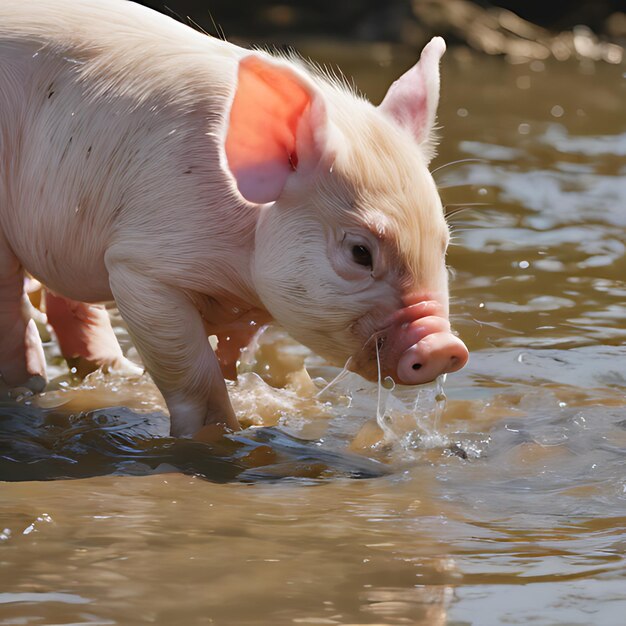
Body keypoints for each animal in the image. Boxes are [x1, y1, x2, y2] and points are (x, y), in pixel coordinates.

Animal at [0, 0, 466, 436]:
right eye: (360, 252)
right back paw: (30, 385)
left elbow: (234, 349)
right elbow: (191, 373)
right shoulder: (141, 267)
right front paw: (221, 434)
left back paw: (112, 372)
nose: (445, 347)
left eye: (443, 244)